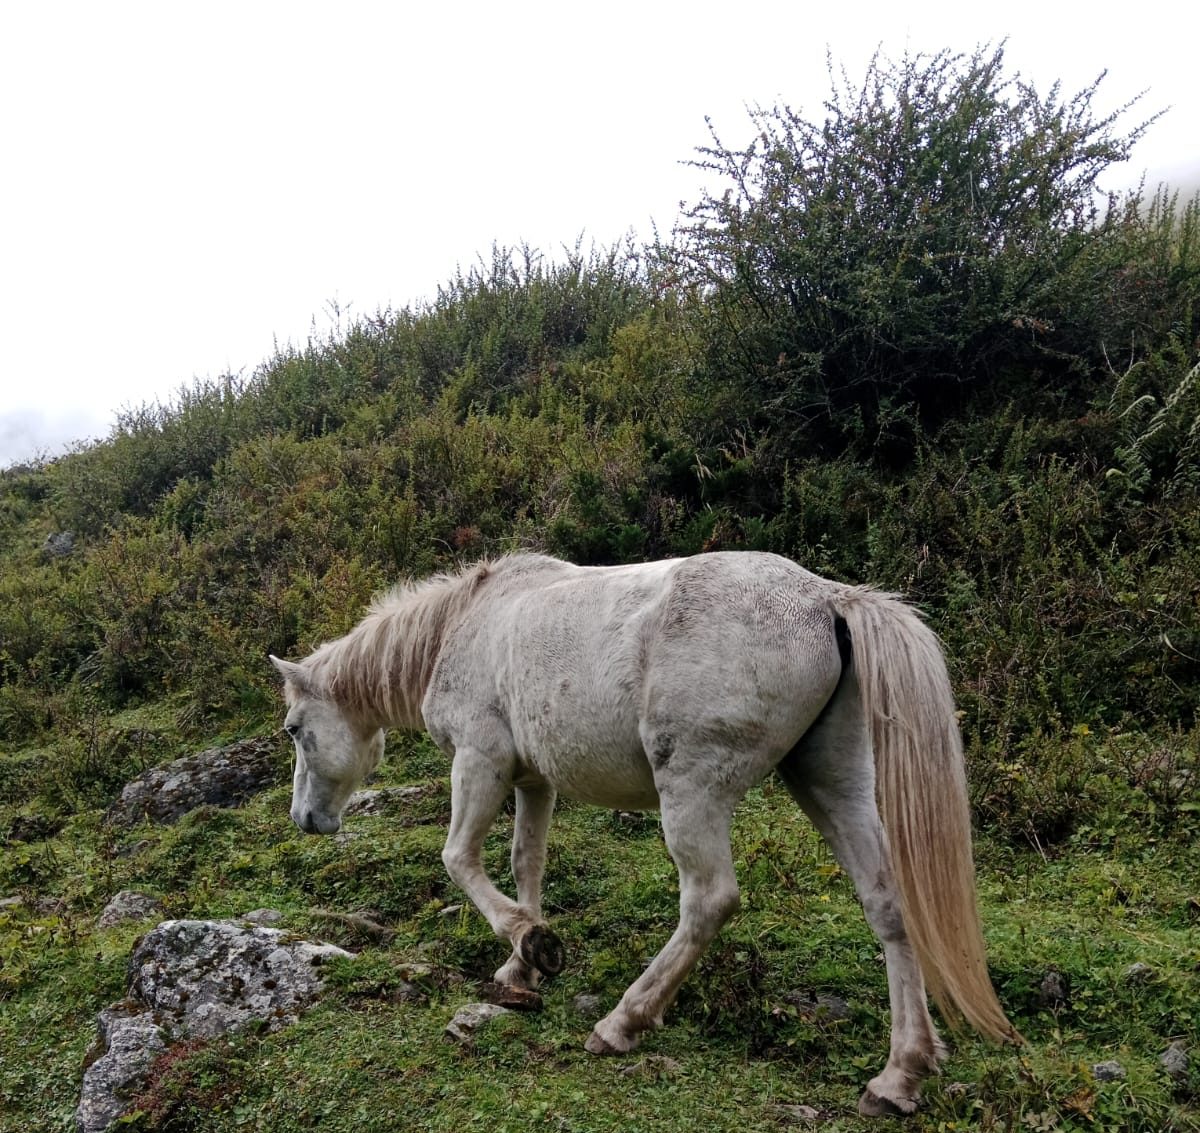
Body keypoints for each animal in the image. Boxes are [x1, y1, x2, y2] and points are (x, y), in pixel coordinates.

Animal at [269, 551, 1020, 1116]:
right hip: (831, 781)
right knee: (888, 903)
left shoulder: (480, 761)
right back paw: (900, 1074)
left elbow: (460, 858)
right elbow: (526, 863)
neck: (466, 621)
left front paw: (532, 943)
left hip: (691, 791)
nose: (307, 819)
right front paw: (521, 965)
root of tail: (827, 599)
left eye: (295, 729)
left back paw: (623, 1022)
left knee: (708, 900)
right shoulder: (534, 780)